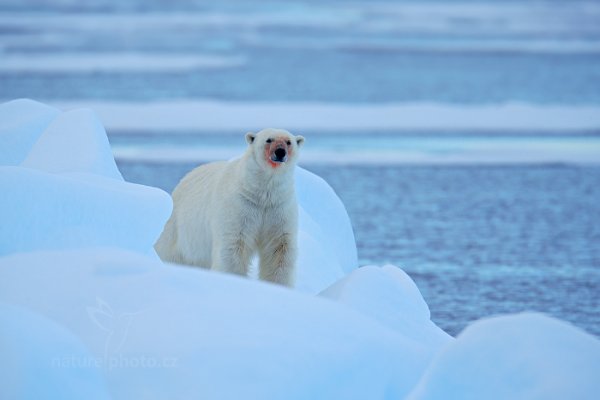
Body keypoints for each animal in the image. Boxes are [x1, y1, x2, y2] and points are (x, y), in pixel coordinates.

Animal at [155, 128, 304, 288]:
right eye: (268, 140)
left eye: (289, 142)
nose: (280, 152)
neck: (260, 193)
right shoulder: (240, 206)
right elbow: (234, 245)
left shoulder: (278, 207)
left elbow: (279, 248)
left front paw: (278, 285)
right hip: (178, 229)